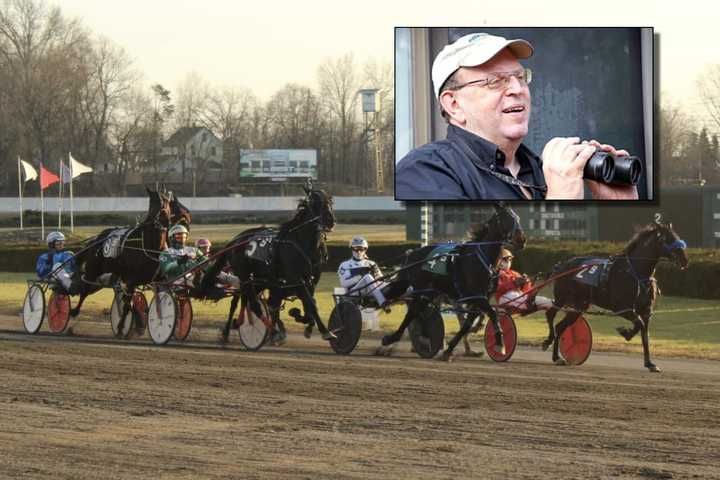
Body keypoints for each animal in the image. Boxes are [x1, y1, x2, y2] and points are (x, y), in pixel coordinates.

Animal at [70, 188, 173, 330]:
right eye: (152, 204)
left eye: (166, 201)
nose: (162, 219)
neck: (151, 246)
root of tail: (97, 239)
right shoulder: (132, 280)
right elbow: (127, 303)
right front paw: (127, 324)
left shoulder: (159, 279)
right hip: (93, 270)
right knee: (85, 289)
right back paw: (74, 311)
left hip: (113, 272)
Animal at [202, 182, 338, 344]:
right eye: (314, 202)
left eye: (330, 201)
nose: (330, 220)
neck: (303, 243)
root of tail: (236, 240)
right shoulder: (296, 279)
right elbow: (310, 304)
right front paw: (325, 331)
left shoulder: (311, 281)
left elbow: (310, 304)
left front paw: (305, 322)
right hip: (245, 276)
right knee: (252, 304)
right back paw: (270, 332)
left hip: (258, 279)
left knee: (243, 300)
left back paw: (235, 327)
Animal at [376, 202, 524, 360]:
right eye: (505, 218)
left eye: (517, 217)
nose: (521, 240)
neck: (482, 259)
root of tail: (412, 254)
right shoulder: (477, 296)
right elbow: (492, 315)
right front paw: (500, 345)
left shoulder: (477, 299)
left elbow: (467, 325)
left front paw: (449, 350)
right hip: (420, 289)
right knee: (413, 313)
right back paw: (393, 340)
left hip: (429, 291)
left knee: (417, 312)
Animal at [544, 217, 692, 372]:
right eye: (667, 239)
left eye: (678, 238)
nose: (685, 259)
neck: (635, 272)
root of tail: (561, 265)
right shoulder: (622, 308)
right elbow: (638, 323)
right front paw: (625, 332)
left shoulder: (646, 311)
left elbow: (645, 335)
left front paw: (650, 363)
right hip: (561, 298)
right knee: (550, 314)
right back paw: (548, 342)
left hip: (579, 306)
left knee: (560, 327)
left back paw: (557, 357)